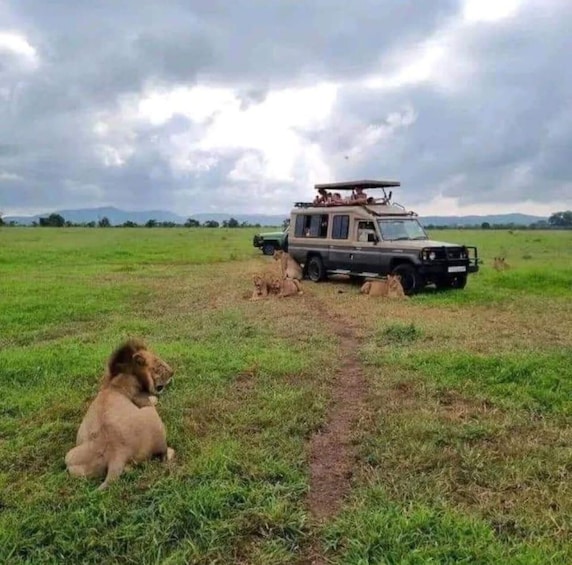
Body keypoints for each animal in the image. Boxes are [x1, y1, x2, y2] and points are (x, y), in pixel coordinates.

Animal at [64, 340, 174, 490]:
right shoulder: (141, 398)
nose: (172, 372)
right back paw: (171, 452)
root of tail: (116, 453)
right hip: (153, 416)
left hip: (69, 459)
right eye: (158, 364)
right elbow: (153, 399)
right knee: (163, 453)